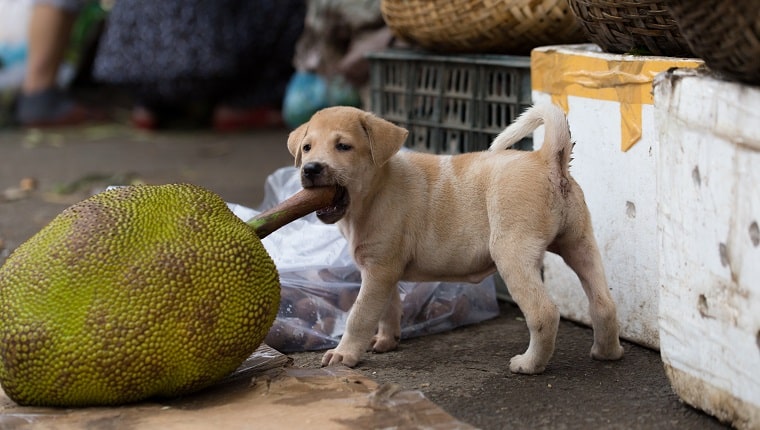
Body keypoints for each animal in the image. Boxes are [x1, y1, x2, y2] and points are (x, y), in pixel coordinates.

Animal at [284, 104, 624, 372]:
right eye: (307, 148)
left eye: (343, 146)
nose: (311, 169)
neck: (375, 191)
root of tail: (546, 160)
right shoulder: (383, 271)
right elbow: (388, 308)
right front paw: (386, 340)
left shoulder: (378, 270)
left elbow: (359, 315)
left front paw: (344, 354)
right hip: (580, 244)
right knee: (604, 303)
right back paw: (607, 352)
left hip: (512, 253)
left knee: (544, 313)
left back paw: (529, 364)